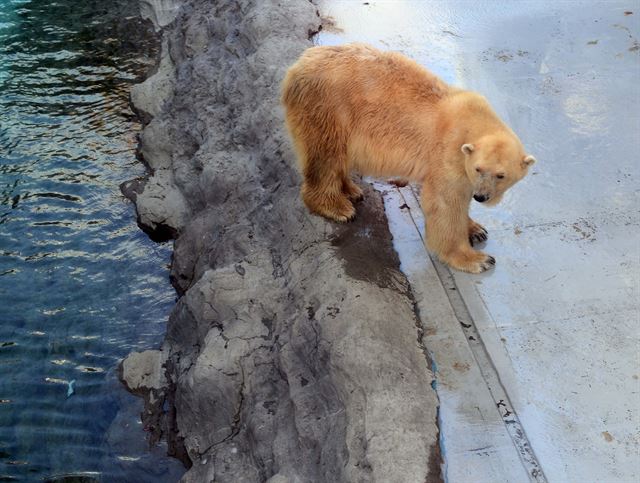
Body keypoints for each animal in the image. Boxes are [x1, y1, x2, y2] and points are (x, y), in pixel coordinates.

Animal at [282, 43, 536, 274]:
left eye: (501, 175)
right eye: (478, 169)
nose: (482, 196)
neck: (473, 120)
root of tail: (296, 67)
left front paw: (476, 228)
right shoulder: (449, 154)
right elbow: (445, 204)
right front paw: (477, 259)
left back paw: (352, 190)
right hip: (327, 108)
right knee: (326, 157)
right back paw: (338, 207)